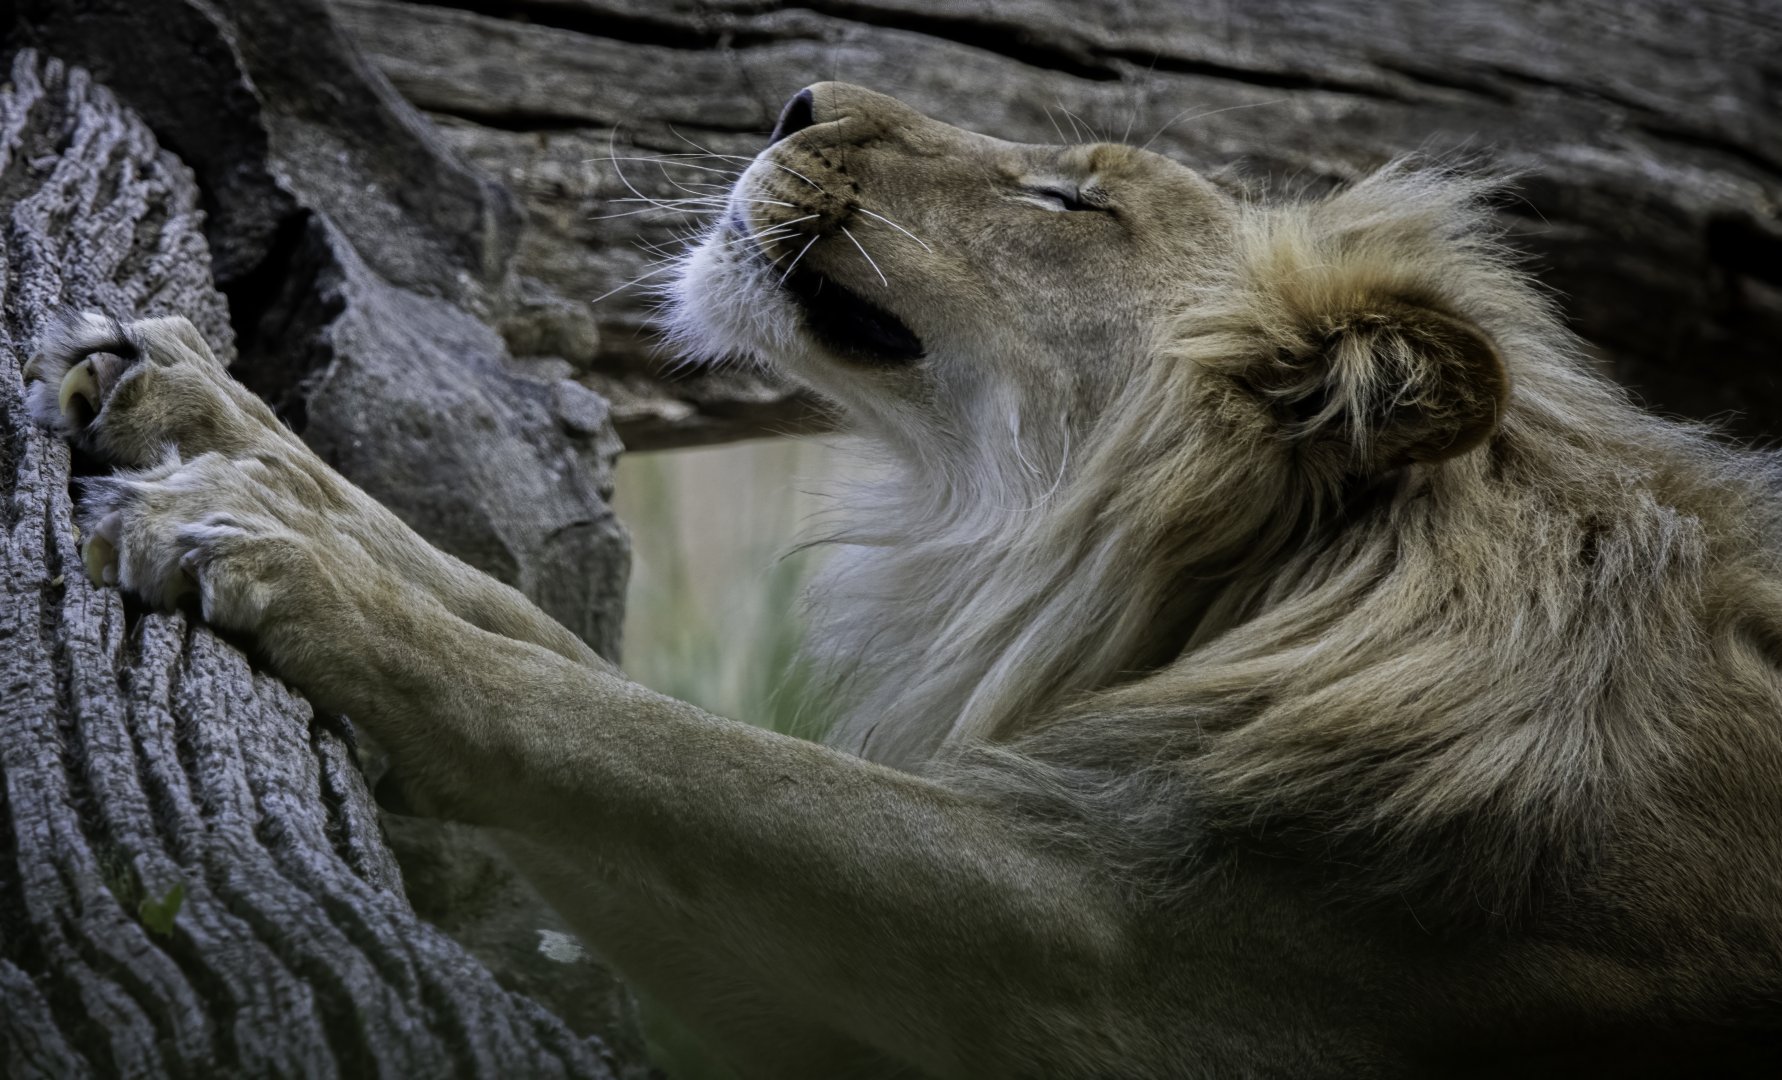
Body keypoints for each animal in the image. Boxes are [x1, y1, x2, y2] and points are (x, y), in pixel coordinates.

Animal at [26, 82, 1782, 1076]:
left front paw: (280, 556)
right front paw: (213, 420)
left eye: (1067, 198)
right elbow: (539, 638)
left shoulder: (1104, 945)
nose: (796, 98)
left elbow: (649, 744)